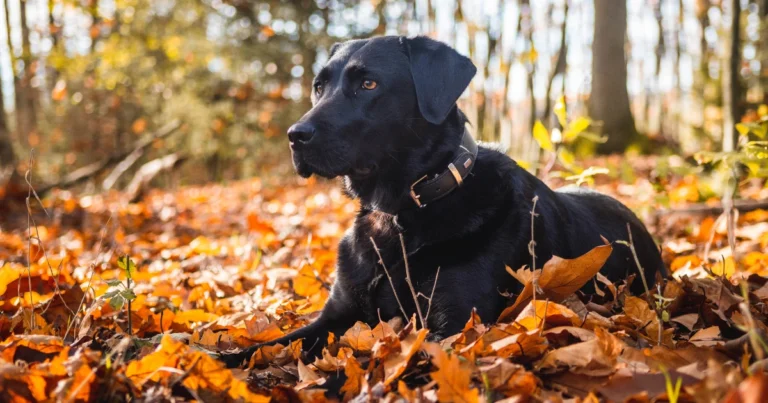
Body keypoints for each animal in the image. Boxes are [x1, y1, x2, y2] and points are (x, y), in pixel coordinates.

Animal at [219, 36, 664, 368]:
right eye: (318, 86)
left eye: (368, 85)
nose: (295, 135)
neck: (400, 214)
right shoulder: (338, 313)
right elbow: (266, 346)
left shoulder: (452, 327)